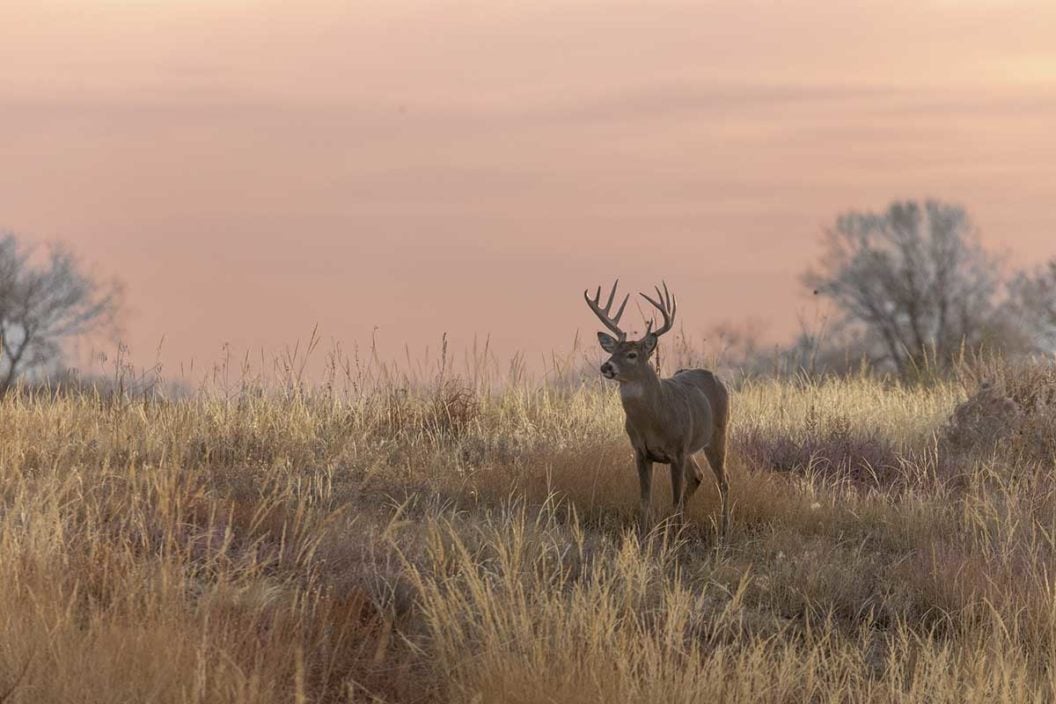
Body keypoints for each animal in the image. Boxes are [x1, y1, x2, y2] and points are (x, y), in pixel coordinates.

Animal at [582, 280, 730, 540]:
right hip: (691, 448)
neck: (654, 421)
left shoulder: (677, 451)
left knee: (723, 482)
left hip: (717, 434)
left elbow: (675, 499)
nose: (606, 366)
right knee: (698, 476)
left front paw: (675, 537)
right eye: (613, 351)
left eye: (632, 354)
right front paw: (644, 536)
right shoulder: (641, 452)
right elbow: (645, 500)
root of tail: (716, 378)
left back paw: (722, 531)